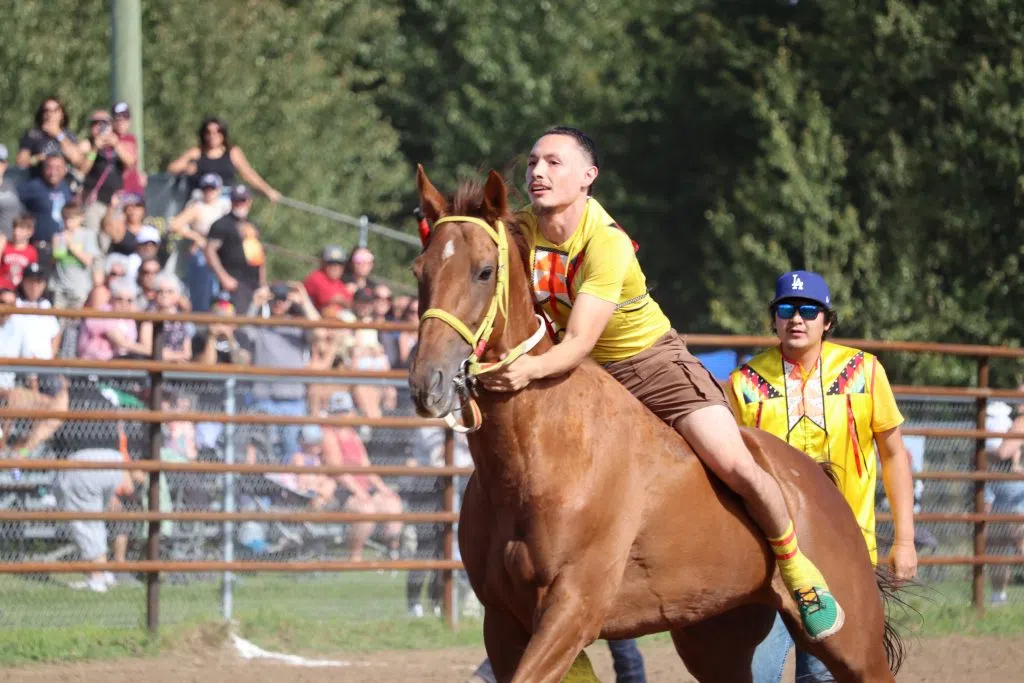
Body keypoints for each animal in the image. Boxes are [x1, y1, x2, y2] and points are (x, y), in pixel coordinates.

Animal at [407, 166, 905, 683]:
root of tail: (820, 481)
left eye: (484, 271)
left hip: (854, 646)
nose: (428, 381)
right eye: (420, 271)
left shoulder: (572, 609)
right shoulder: (503, 622)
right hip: (715, 636)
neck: (538, 457)